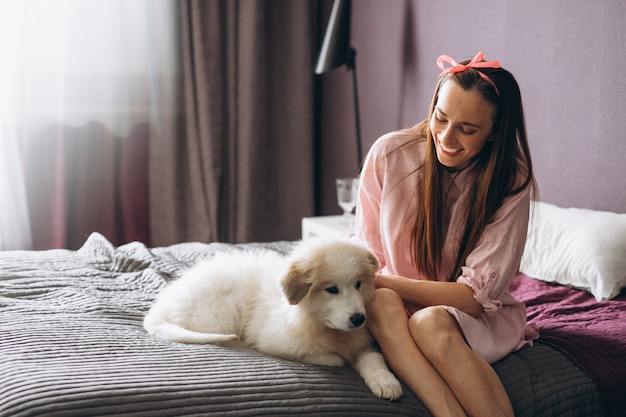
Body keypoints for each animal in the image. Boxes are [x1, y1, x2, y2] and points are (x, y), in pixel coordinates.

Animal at [143, 236, 400, 398]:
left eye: (358, 284)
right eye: (332, 289)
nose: (358, 319)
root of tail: (160, 308)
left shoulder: (363, 340)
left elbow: (373, 358)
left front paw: (386, 382)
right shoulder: (277, 342)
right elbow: (328, 357)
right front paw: (339, 358)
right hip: (224, 303)